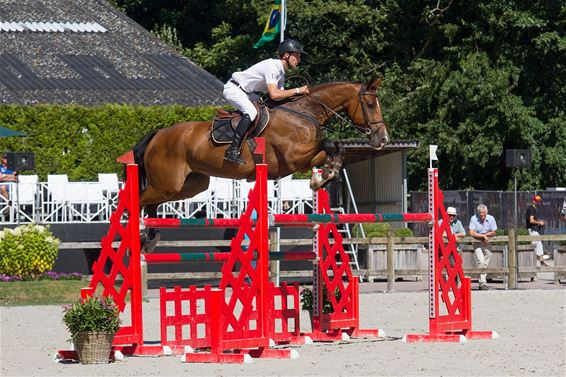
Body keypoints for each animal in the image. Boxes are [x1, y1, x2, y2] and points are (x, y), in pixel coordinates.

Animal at [133, 78, 390, 250]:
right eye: (370, 105)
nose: (383, 139)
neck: (304, 113)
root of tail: (156, 135)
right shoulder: (293, 156)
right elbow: (328, 143)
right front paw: (323, 176)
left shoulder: (300, 160)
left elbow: (333, 150)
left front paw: (323, 176)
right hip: (167, 184)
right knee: (140, 200)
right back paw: (141, 234)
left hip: (189, 186)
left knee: (153, 205)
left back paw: (151, 238)